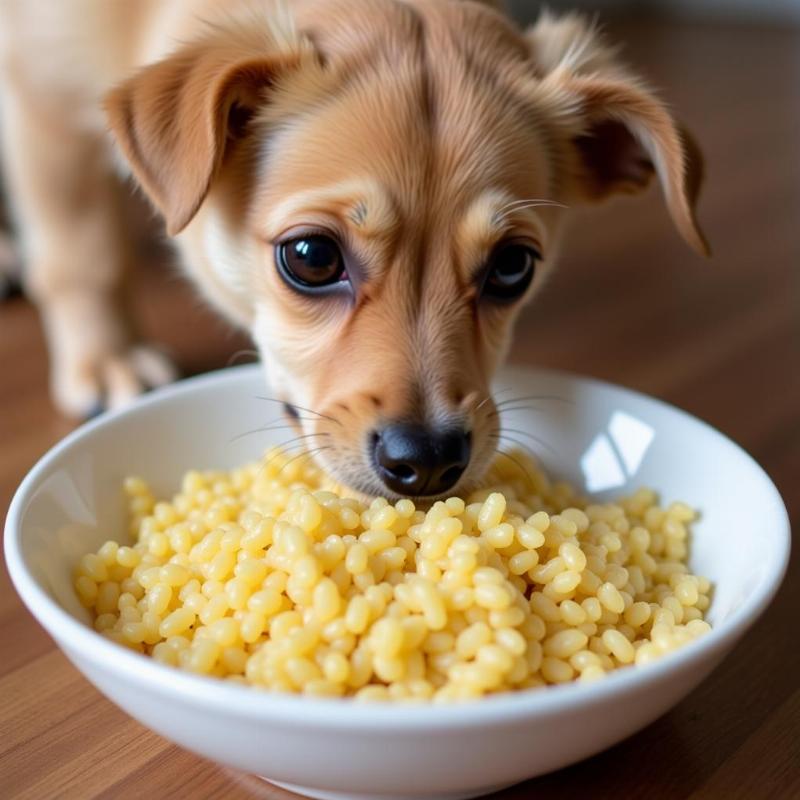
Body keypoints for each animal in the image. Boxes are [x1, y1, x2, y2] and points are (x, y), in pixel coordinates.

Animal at [0, 1, 708, 500]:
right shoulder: (40, 93)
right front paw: (106, 359)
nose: (428, 463)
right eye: (311, 257)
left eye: (513, 267)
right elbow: (84, 251)